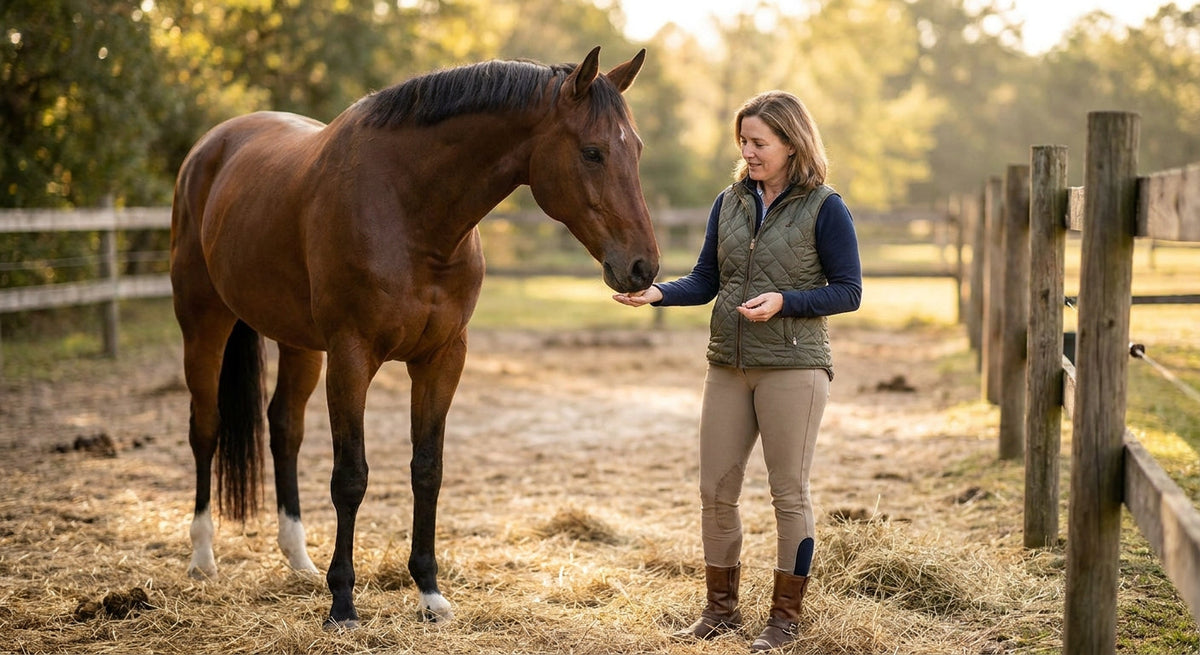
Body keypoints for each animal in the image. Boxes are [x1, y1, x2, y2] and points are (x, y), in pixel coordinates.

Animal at [169, 46, 659, 628]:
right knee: (206, 428)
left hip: (299, 344)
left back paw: (298, 560)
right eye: (592, 152)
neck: (410, 211)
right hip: (204, 322)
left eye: (636, 150)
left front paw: (428, 591)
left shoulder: (442, 358)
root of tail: (211, 145)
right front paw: (343, 603)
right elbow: (350, 476)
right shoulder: (352, 356)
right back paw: (203, 557)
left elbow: (428, 469)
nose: (642, 267)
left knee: (284, 428)